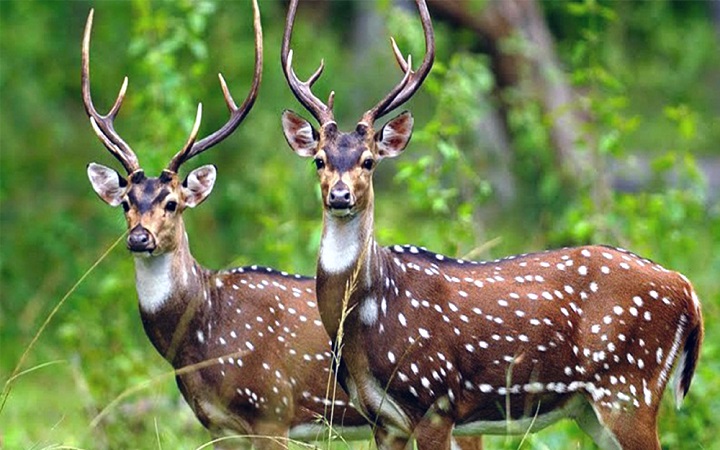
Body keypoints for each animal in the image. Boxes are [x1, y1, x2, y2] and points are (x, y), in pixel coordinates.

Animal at [280, 0, 704, 450]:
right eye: (319, 160)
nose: (340, 196)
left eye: (369, 161)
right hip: (595, 408)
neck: (367, 321)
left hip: (630, 385)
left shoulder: (436, 399)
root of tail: (689, 292)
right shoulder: (383, 420)